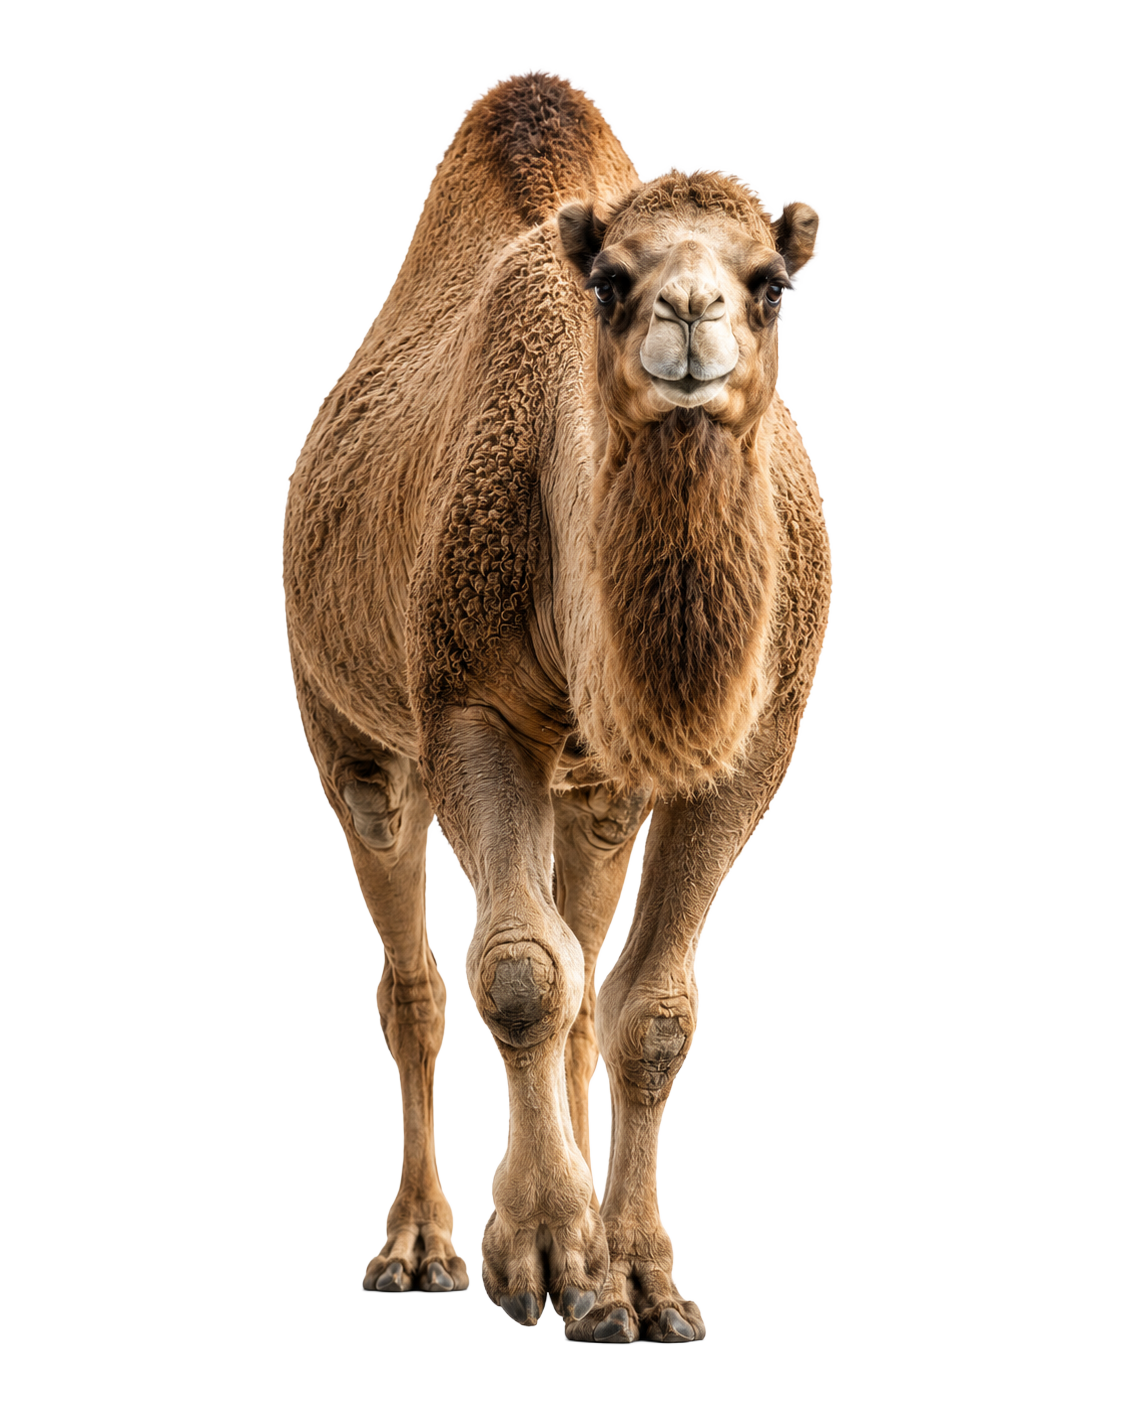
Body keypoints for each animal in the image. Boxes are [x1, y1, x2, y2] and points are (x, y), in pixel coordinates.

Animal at [283, 71, 829, 1343]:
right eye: (612, 280)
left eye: (770, 282)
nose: (689, 310)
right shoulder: (467, 703)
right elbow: (523, 973)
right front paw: (540, 1250)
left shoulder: (751, 745)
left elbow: (650, 1010)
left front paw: (641, 1281)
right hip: (354, 740)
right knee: (419, 982)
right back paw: (418, 1247)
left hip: (595, 797)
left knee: (586, 974)